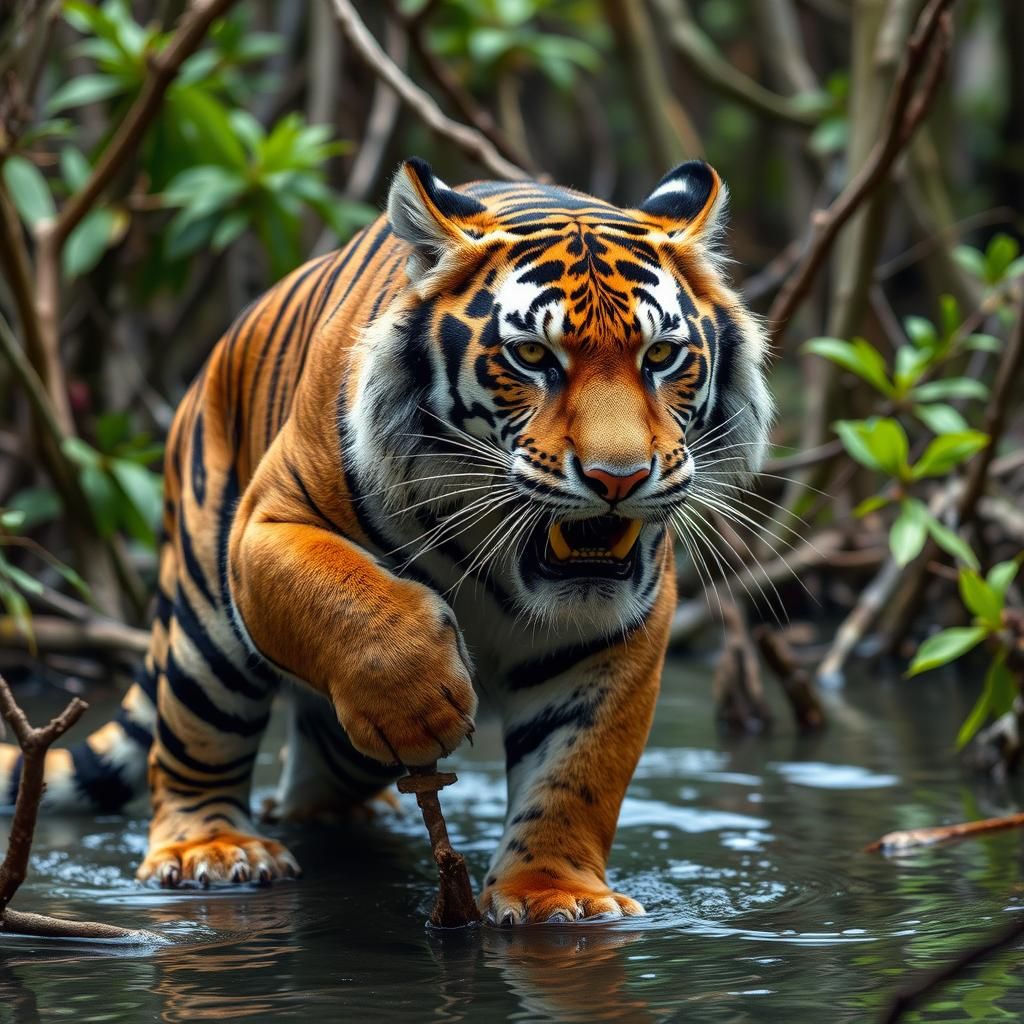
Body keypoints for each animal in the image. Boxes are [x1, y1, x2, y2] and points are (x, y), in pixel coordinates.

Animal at [0, 158, 771, 924]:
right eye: (531, 356)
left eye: (662, 356)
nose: (620, 477)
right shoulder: (268, 525)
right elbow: (352, 600)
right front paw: (421, 705)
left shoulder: (620, 630)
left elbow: (580, 770)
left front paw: (556, 895)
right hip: (205, 629)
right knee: (190, 743)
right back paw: (212, 852)